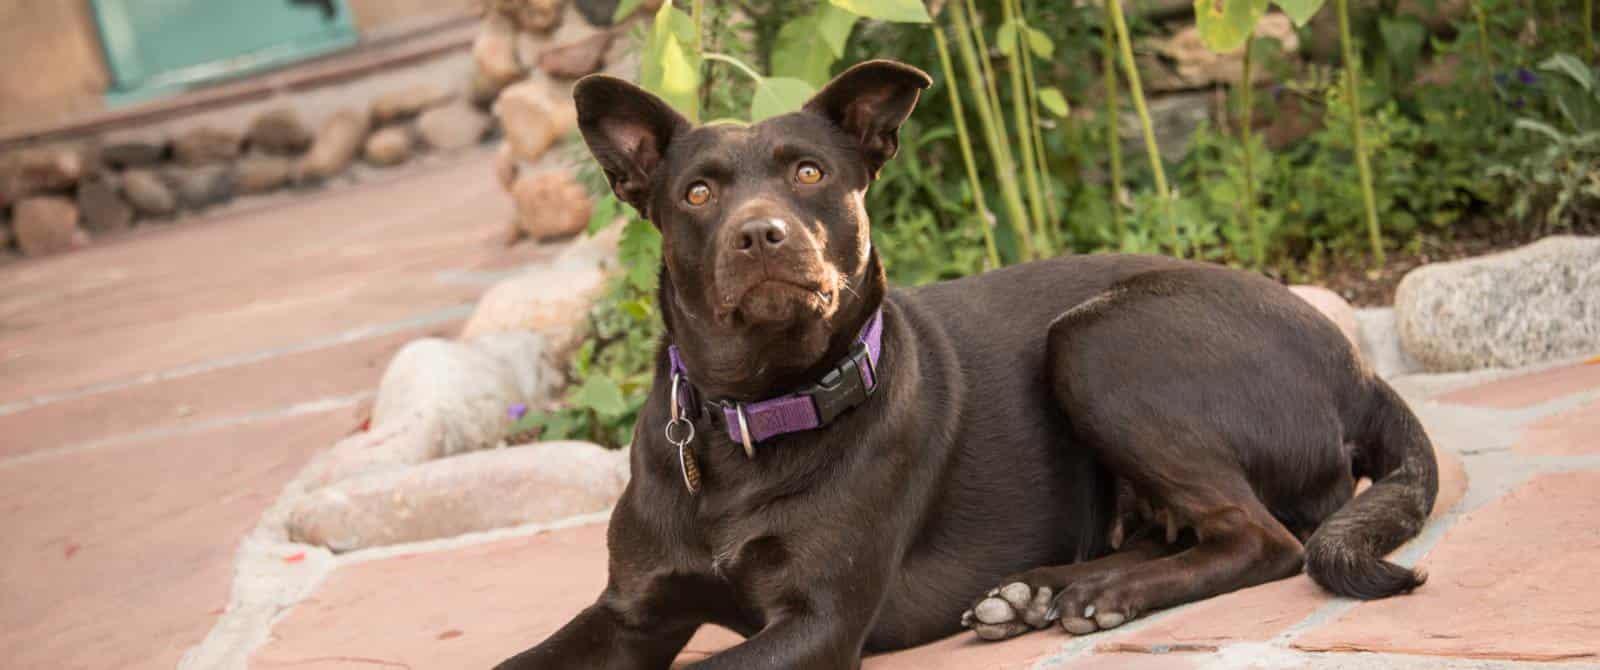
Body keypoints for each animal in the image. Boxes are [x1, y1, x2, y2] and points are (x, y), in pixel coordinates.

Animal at [489, 59, 1440, 670]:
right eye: (696, 193)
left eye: (809, 173)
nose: (762, 235)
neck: (753, 416)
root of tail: (1357, 367)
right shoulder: (630, 614)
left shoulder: (819, 621)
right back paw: (1040, 592)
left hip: (1099, 341)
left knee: (1264, 537)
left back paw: (1109, 596)